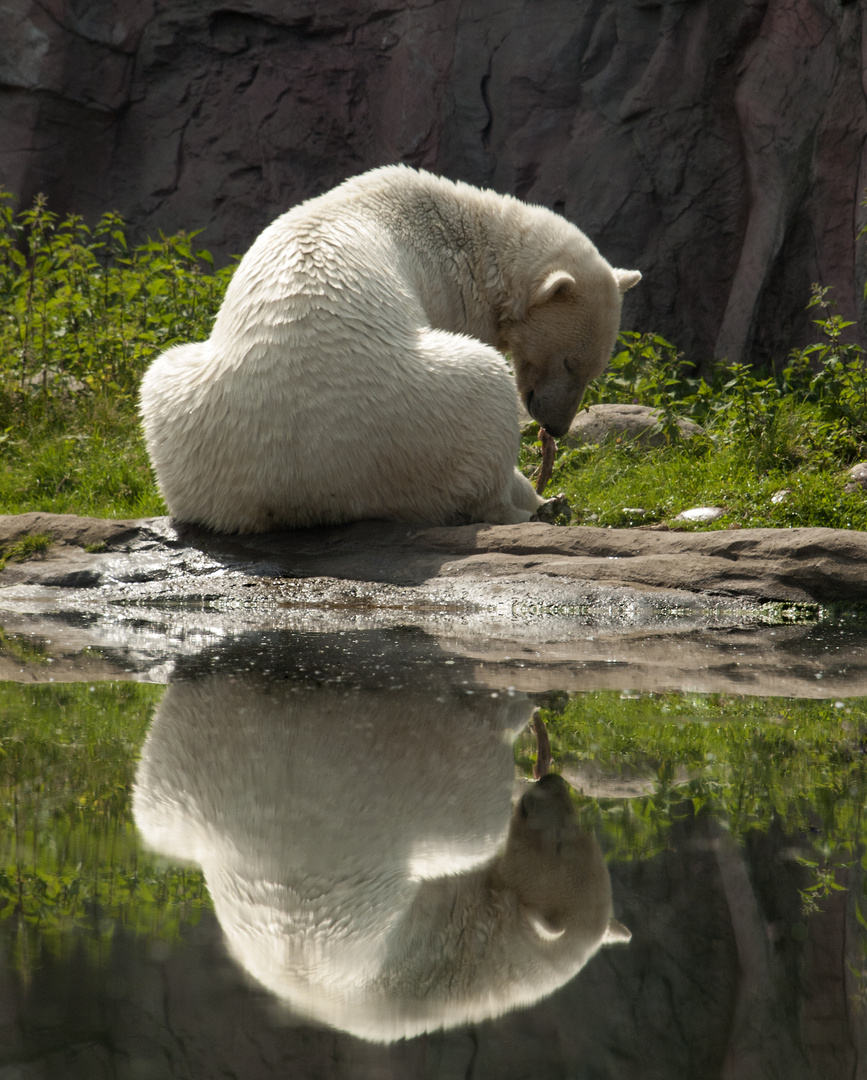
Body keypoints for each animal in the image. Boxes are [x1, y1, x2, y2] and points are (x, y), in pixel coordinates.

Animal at [139, 166, 639, 533]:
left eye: (594, 370)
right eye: (571, 362)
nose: (556, 427)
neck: (465, 230)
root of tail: (305, 488)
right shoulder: (446, 288)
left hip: (191, 422)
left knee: (162, 376)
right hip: (425, 415)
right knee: (482, 402)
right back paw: (539, 503)